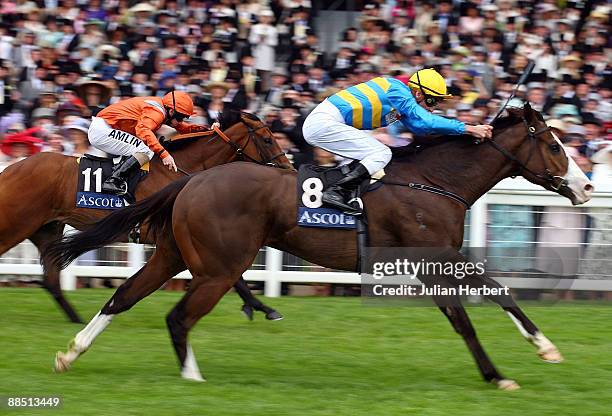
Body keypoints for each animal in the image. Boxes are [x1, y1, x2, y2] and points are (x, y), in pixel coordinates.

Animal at [0, 107, 292, 322]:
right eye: (267, 139)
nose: (288, 169)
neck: (181, 171)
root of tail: (11, 169)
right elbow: (233, 275)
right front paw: (263, 307)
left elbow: (234, 275)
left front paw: (261, 307)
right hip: (15, 225)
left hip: (47, 229)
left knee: (51, 280)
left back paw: (77, 320)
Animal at [49, 102, 592, 388]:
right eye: (554, 146)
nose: (586, 187)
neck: (434, 182)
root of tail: (191, 179)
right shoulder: (435, 256)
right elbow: (494, 294)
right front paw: (535, 354)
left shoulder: (425, 264)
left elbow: (465, 315)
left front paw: (504, 369)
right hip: (220, 267)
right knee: (178, 316)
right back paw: (193, 378)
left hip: (174, 254)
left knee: (123, 297)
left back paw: (70, 353)